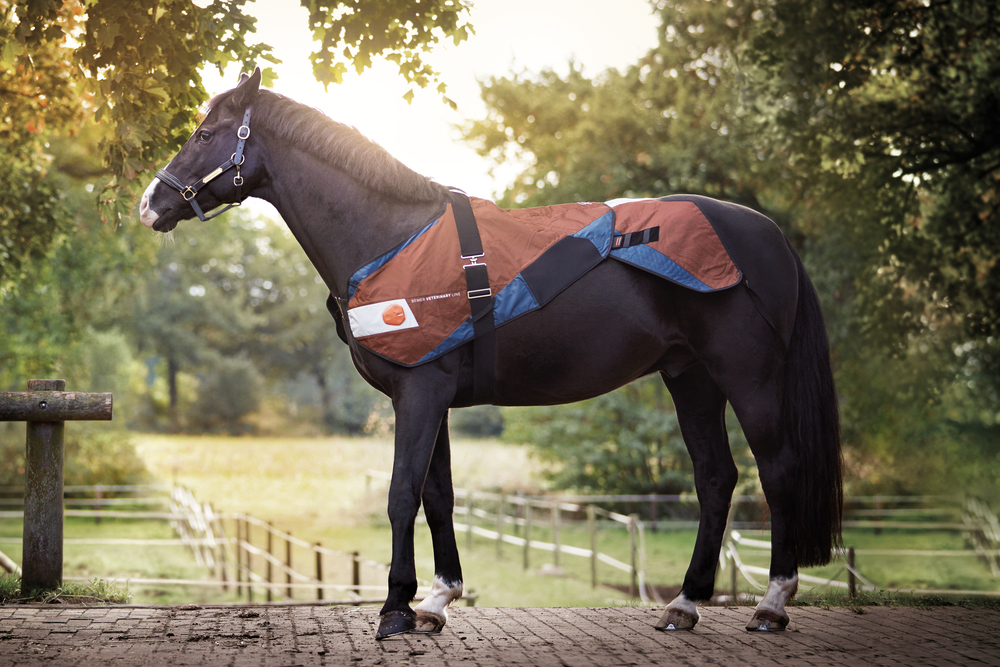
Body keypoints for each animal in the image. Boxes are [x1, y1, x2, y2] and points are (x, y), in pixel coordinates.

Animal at [139, 68, 842, 638]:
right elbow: (438, 495)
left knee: (777, 470)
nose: (151, 203)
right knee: (715, 477)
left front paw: (394, 611)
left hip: (747, 375)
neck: (390, 237)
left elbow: (401, 493)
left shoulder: (419, 394)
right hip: (690, 377)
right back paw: (685, 605)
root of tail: (768, 234)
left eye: (206, 133)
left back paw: (771, 606)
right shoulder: (432, 396)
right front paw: (435, 602)